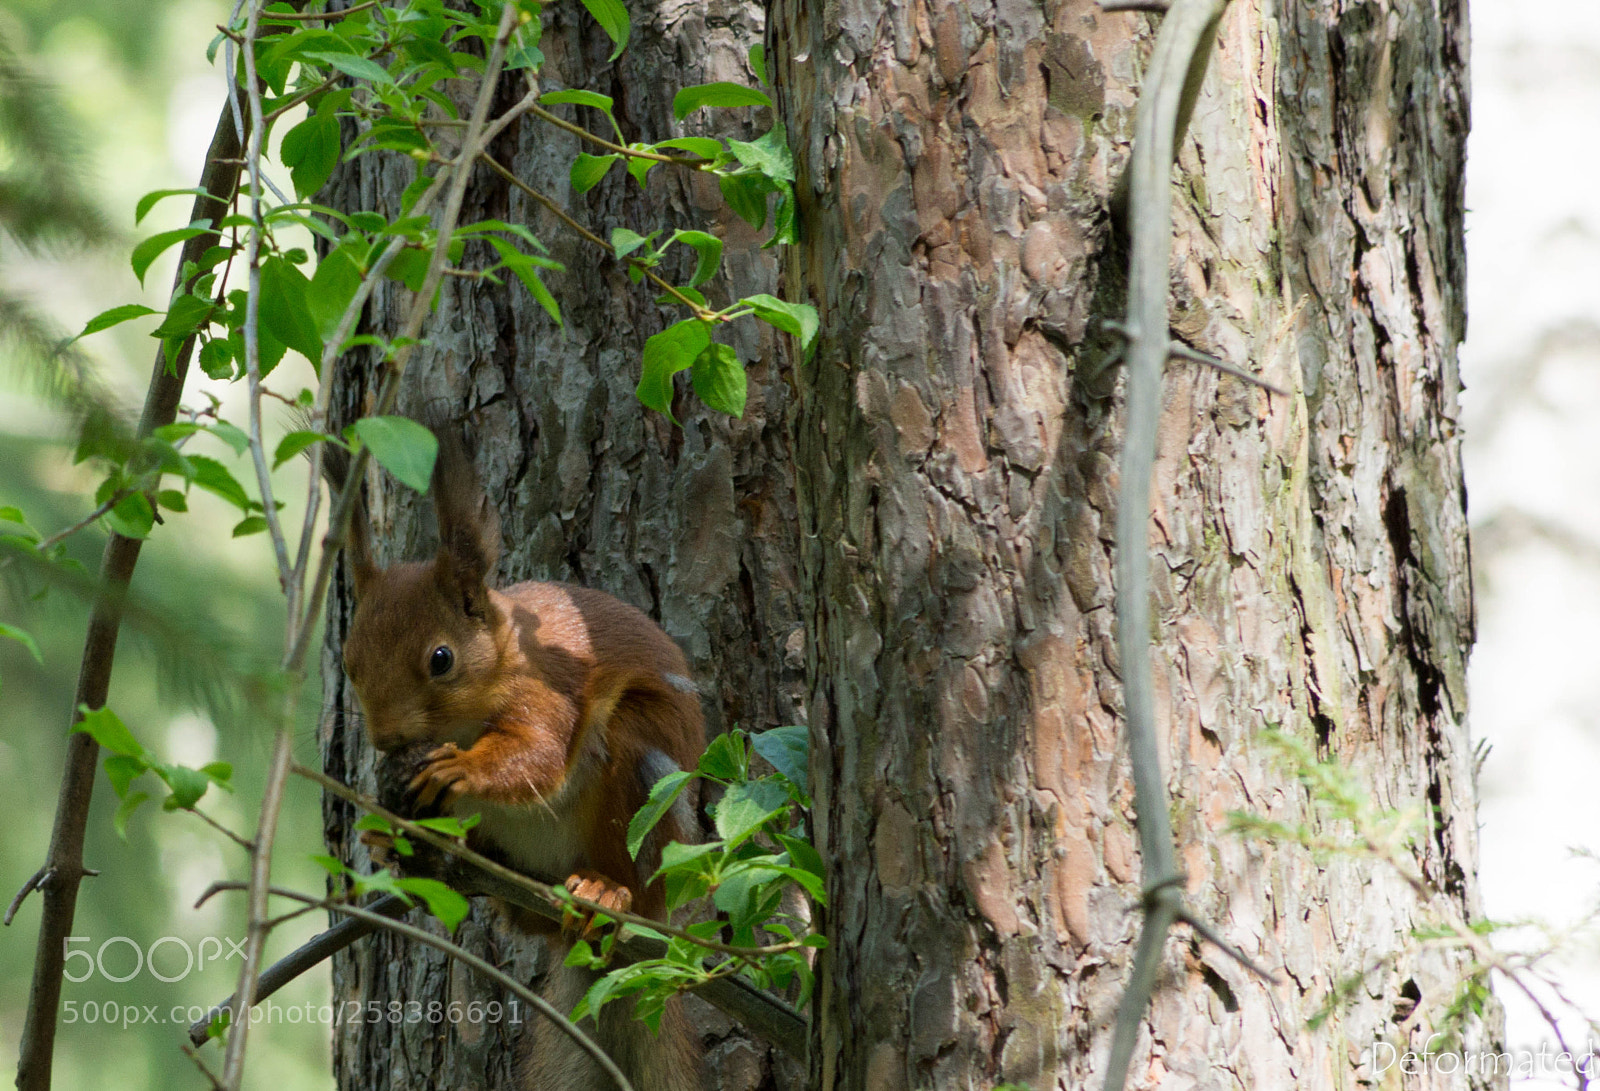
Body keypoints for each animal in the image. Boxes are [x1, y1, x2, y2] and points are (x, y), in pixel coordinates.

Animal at [340, 425, 704, 1087]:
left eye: (441, 659)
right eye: (350, 664)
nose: (386, 740)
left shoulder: (546, 690)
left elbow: (538, 754)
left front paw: (460, 768)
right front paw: (384, 828)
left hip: (641, 783)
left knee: (630, 874)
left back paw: (606, 895)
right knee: (523, 917)